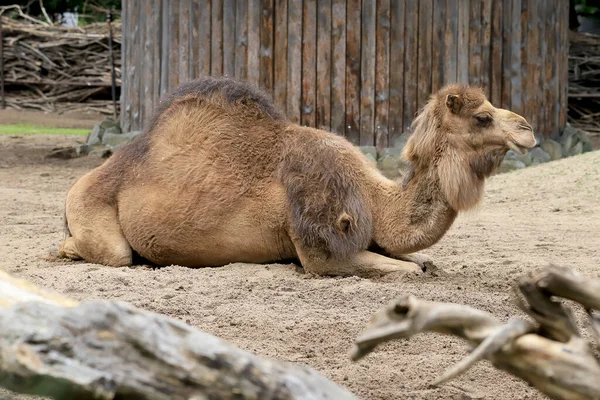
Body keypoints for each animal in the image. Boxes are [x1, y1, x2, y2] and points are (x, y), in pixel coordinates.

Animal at [55, 78, 536, 278]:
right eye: (482, 116)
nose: (528, 128)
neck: (375, 198)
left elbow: (423, 262)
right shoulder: (322, 247)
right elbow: (410, 272)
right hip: (94, 210)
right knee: (115, 255)